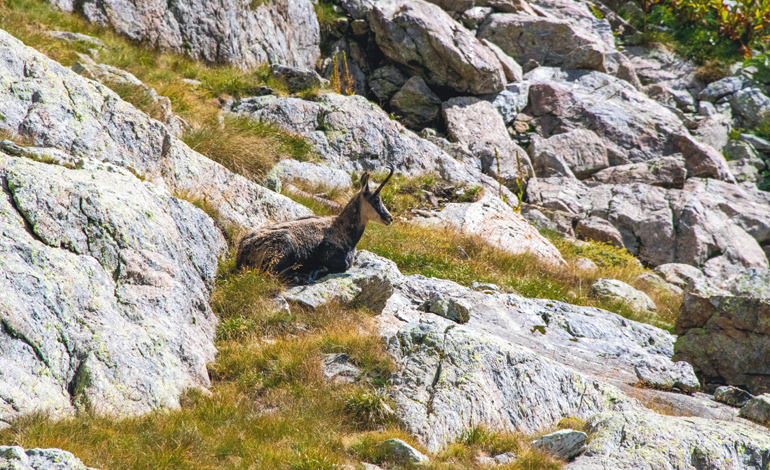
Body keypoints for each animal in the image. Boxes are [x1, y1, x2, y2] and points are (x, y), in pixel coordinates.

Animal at [236, 167, 395, 283]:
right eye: (376, 200)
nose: (390, 218)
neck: (343, 230)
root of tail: (242, 252)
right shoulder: (327, 251)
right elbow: (341, 265)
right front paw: (316, 271)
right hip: (284, 246)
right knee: (272, 274)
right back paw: (301, 277)